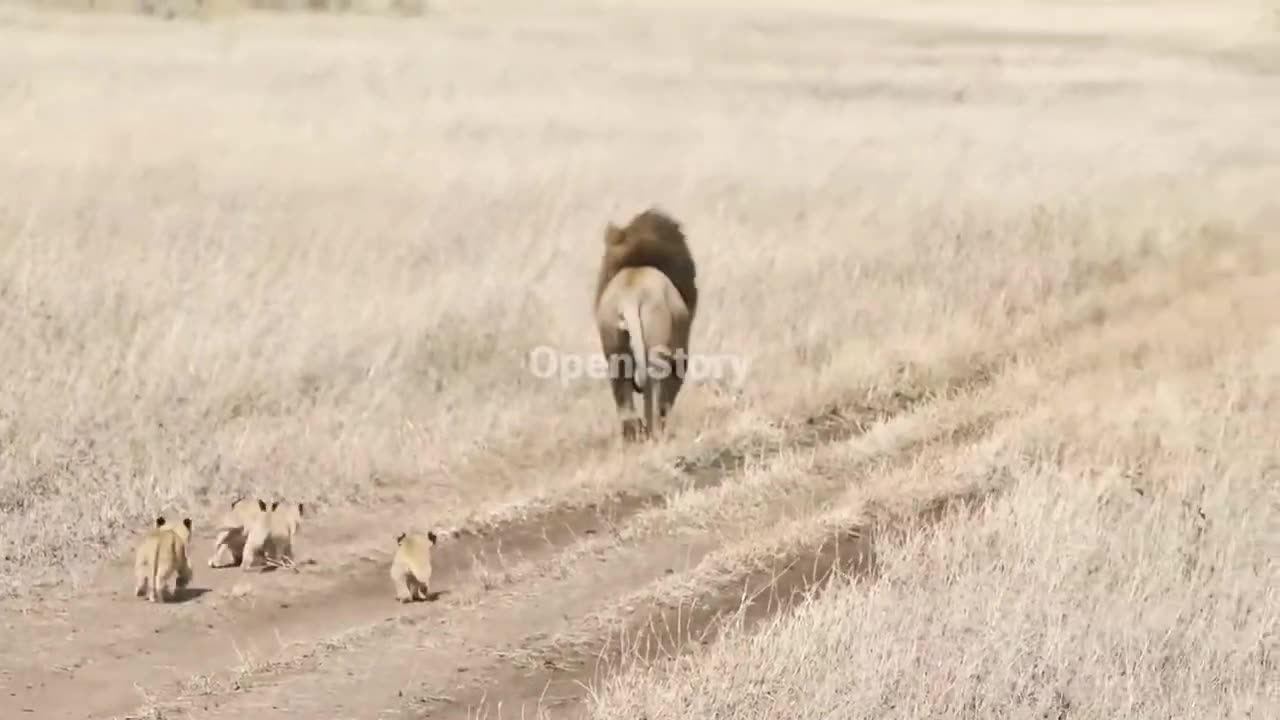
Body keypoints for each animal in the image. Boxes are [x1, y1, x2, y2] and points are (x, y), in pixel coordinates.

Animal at [593, 208, 698, 441]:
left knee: (625, 401)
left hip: (614, 346)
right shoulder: (680, 354)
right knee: (658, 392)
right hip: (658, 346)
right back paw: (658, 435)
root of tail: (630, 296)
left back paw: (635, 436)